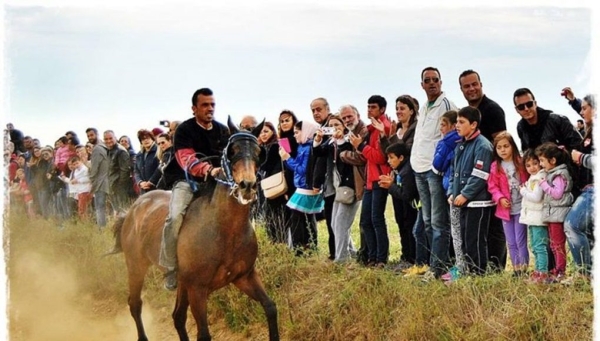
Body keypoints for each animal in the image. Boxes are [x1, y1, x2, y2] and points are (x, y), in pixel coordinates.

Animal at [109, 127, 278, 340]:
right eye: (231, 151)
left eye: (258, 152)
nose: (247, 186)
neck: (225, 230)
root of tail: (133, 209)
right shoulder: (198, 288)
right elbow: (204, 334)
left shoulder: (244, 276)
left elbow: (270, 307)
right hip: (136, 266)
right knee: (135, 304)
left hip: (181, 282)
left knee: (177, 317)